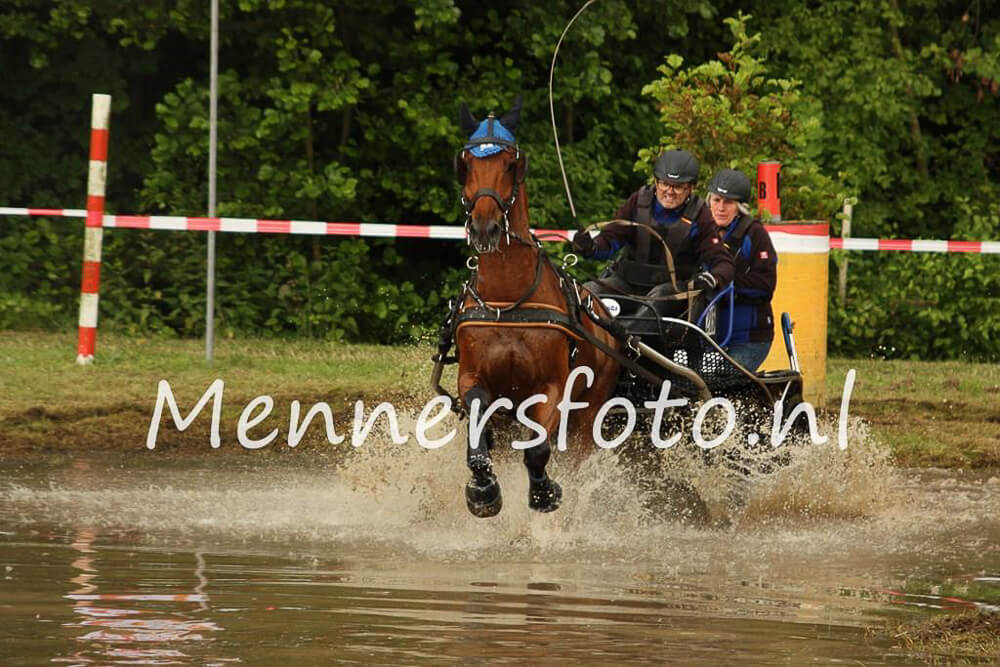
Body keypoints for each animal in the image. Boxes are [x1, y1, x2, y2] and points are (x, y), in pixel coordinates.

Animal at [444, 96, 620, 518]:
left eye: (511, 163)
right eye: (466, 162)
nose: (485, 227)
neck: (509, 300)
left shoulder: (552, 387)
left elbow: (538, 450)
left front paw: (543, 492)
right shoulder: (473, 380)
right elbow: (478, 444)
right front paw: (484, 491)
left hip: (588, 415)